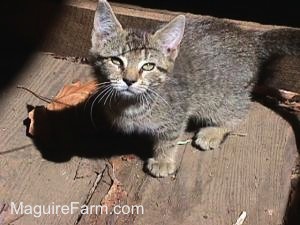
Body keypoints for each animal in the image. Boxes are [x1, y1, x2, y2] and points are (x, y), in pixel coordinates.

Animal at [89, 0, 300, 178]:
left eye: (148, 66)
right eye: (116, 61)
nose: (129, 80)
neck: (130, 104)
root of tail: (251, 39)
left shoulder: (177, 114)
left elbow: (169, 138)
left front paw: (163, 160)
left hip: (224, 97)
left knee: (238, 113)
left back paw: (213, 131)